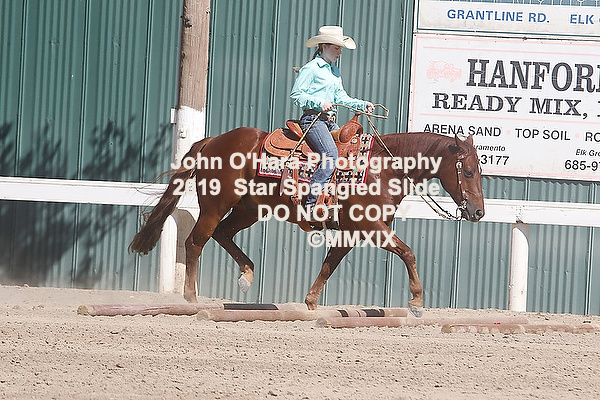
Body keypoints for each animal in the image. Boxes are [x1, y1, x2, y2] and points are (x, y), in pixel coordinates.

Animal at [130, 122, 484, 316]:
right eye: (467, 171)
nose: (478, 212)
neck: (384, 168)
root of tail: (212, 141)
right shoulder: (372, 227)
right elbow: (408, 252)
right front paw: (417, 300)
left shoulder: (353, 231)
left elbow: (330, 263)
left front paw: (311, 302)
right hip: (215, 206)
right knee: (195, 242)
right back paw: (191, 297)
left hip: (249, 209)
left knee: (223, 235)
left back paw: (247, 275)